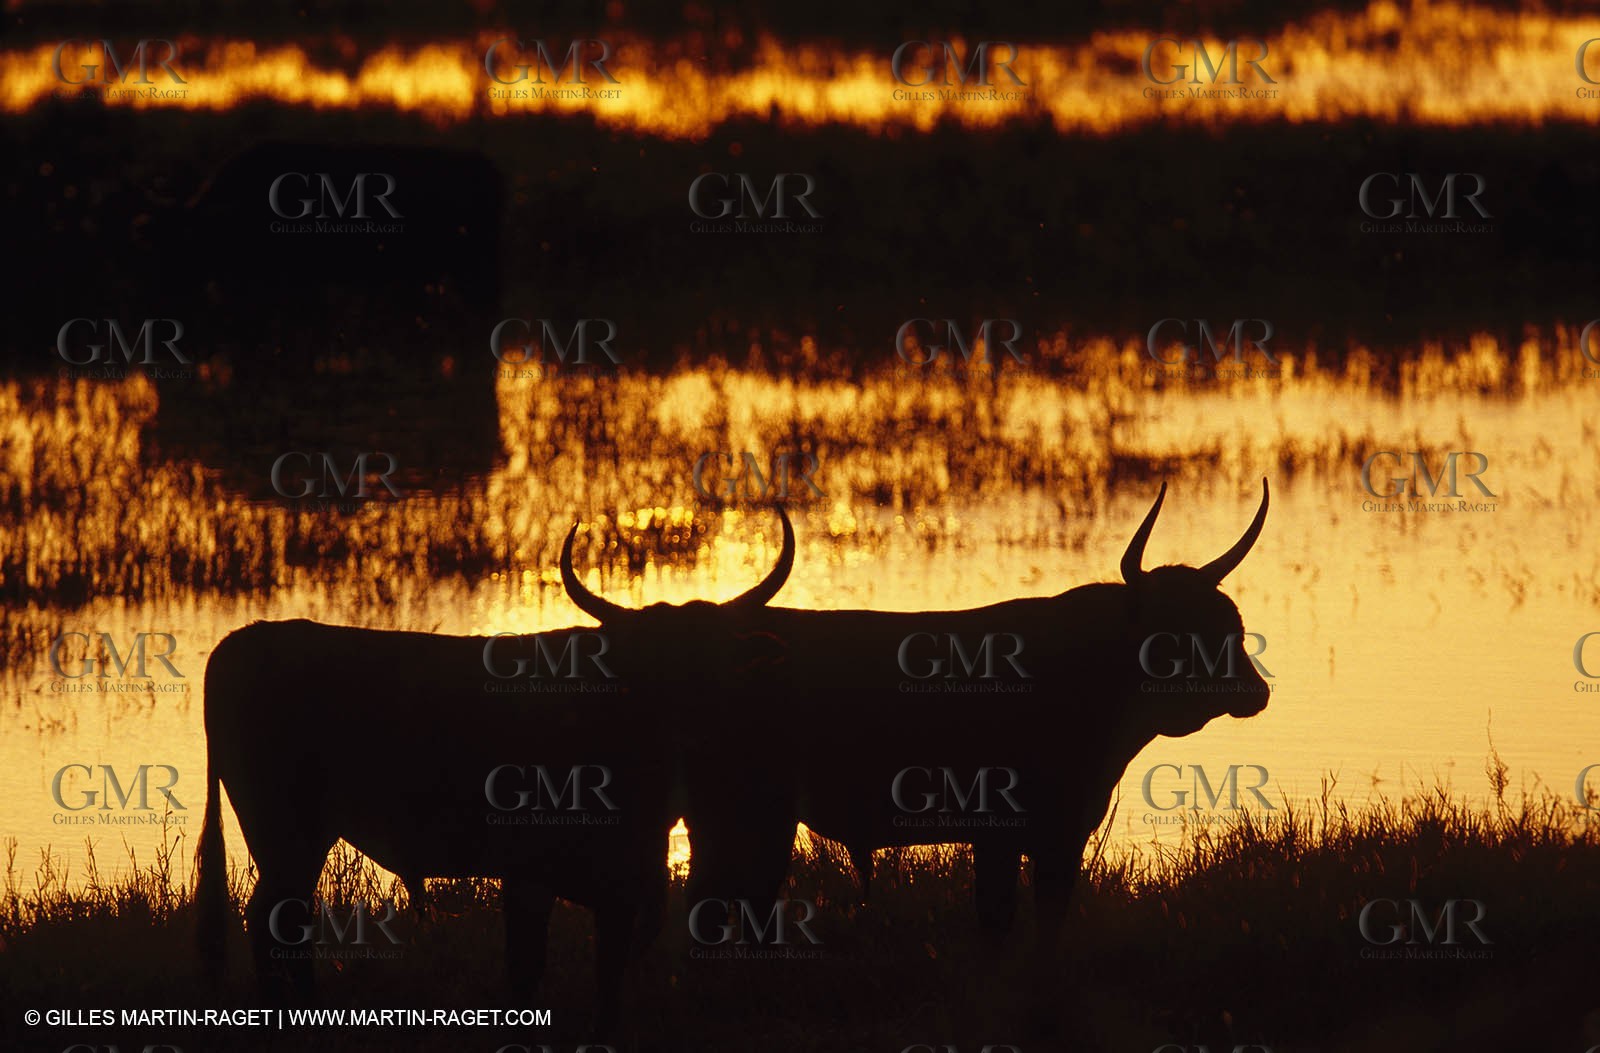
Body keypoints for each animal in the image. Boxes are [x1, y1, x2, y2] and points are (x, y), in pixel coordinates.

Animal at [193, 515, 794, 1033]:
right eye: (648, 672)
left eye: (715, 668)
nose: (690, 733)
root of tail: (246, 639)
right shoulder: (527, 873)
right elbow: (525, 970)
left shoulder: (624, 885)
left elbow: (609, 976)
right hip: (282, 832)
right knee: (274, 922)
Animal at [562, 482, 1273, 947]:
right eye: (1176, 633)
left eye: (1233, 625)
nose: (1255, 693)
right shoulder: (1001, 831)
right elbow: (997, 922)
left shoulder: (1061, 836)